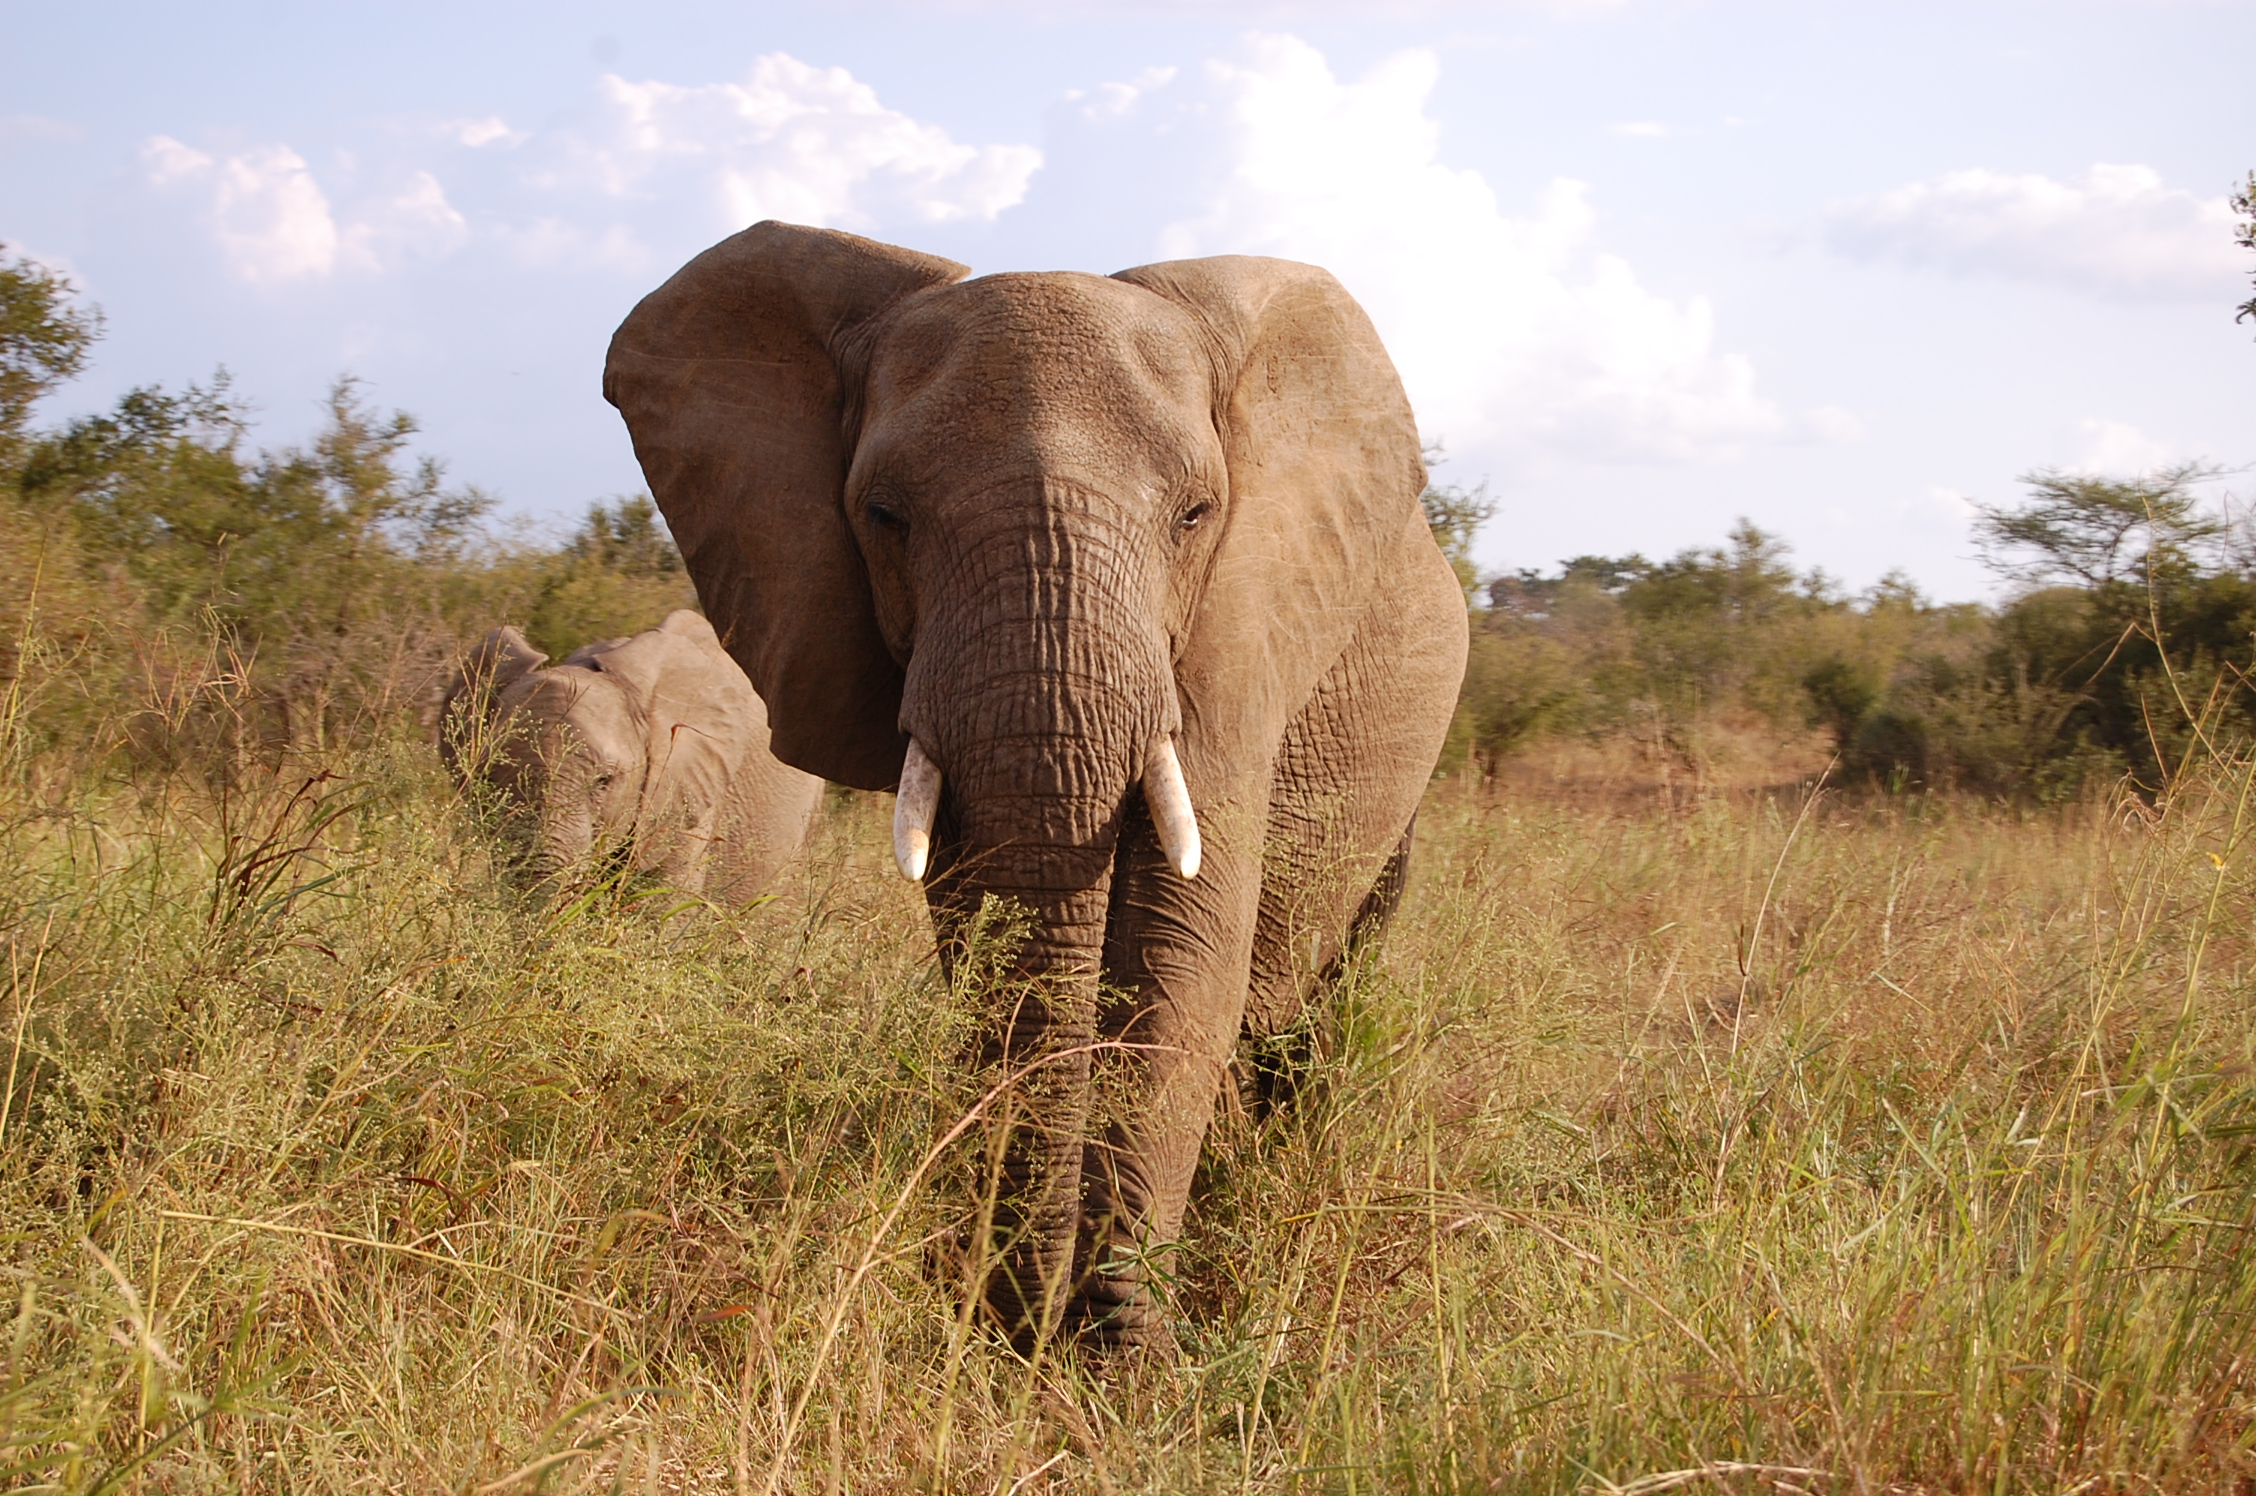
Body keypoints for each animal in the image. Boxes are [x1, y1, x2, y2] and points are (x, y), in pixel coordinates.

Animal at [603, 222, 1469, 1351]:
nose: (1033, 1315)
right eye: (882, 514)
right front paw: (1013, 1321)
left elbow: (1185, 947)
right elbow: (989, 932)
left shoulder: (1241, 631)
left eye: (1197, 515)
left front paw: (1121, 1347)